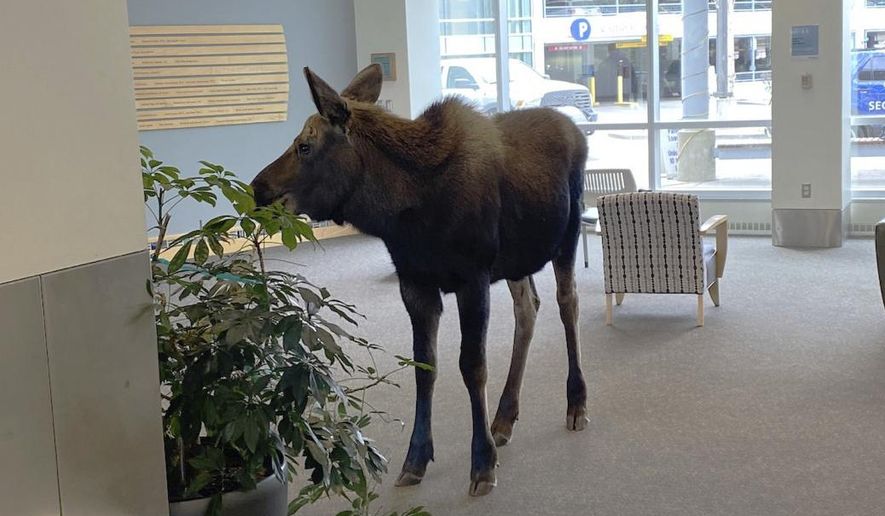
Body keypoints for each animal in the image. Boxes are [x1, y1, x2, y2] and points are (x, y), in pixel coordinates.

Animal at [251, 63, 589, 497]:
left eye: (304, 146)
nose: (258, 188)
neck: (404, 211)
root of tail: (575, 128)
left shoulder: (472, 277)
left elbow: (472, 365)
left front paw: (482, 463)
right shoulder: (415, 284)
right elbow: (424, 366)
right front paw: (416, 459)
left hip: (567, 233)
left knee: (568, 303)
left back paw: (576, 402)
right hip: (517, 260)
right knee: (528, 308)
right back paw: (504, 416)